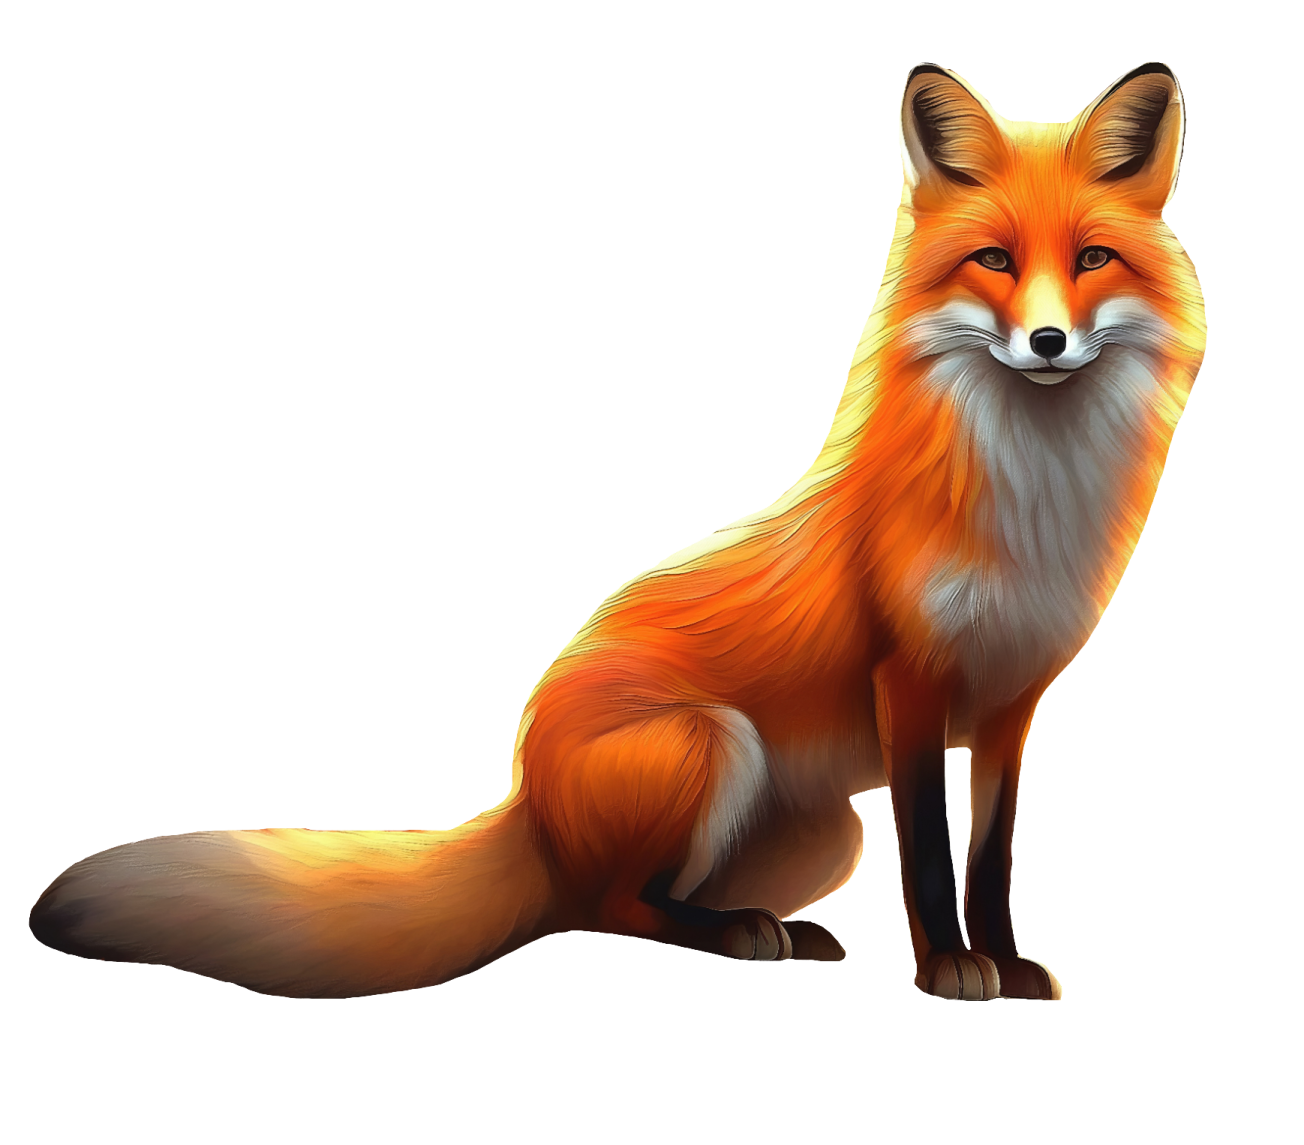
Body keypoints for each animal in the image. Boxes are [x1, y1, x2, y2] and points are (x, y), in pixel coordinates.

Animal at [30, 62, 1204, 1001]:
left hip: (827, 833)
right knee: (607, 908)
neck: (1029, 498)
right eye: (995, 263)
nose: (1046, 341)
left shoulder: (1008, 703)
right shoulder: (908, 681)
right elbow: (926, 853)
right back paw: (739, 936)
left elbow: (989, 860)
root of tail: (523, 799)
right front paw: (947, 969)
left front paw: (1001, 959)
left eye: (1091, 259)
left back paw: (782, 929)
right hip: (709, 744)